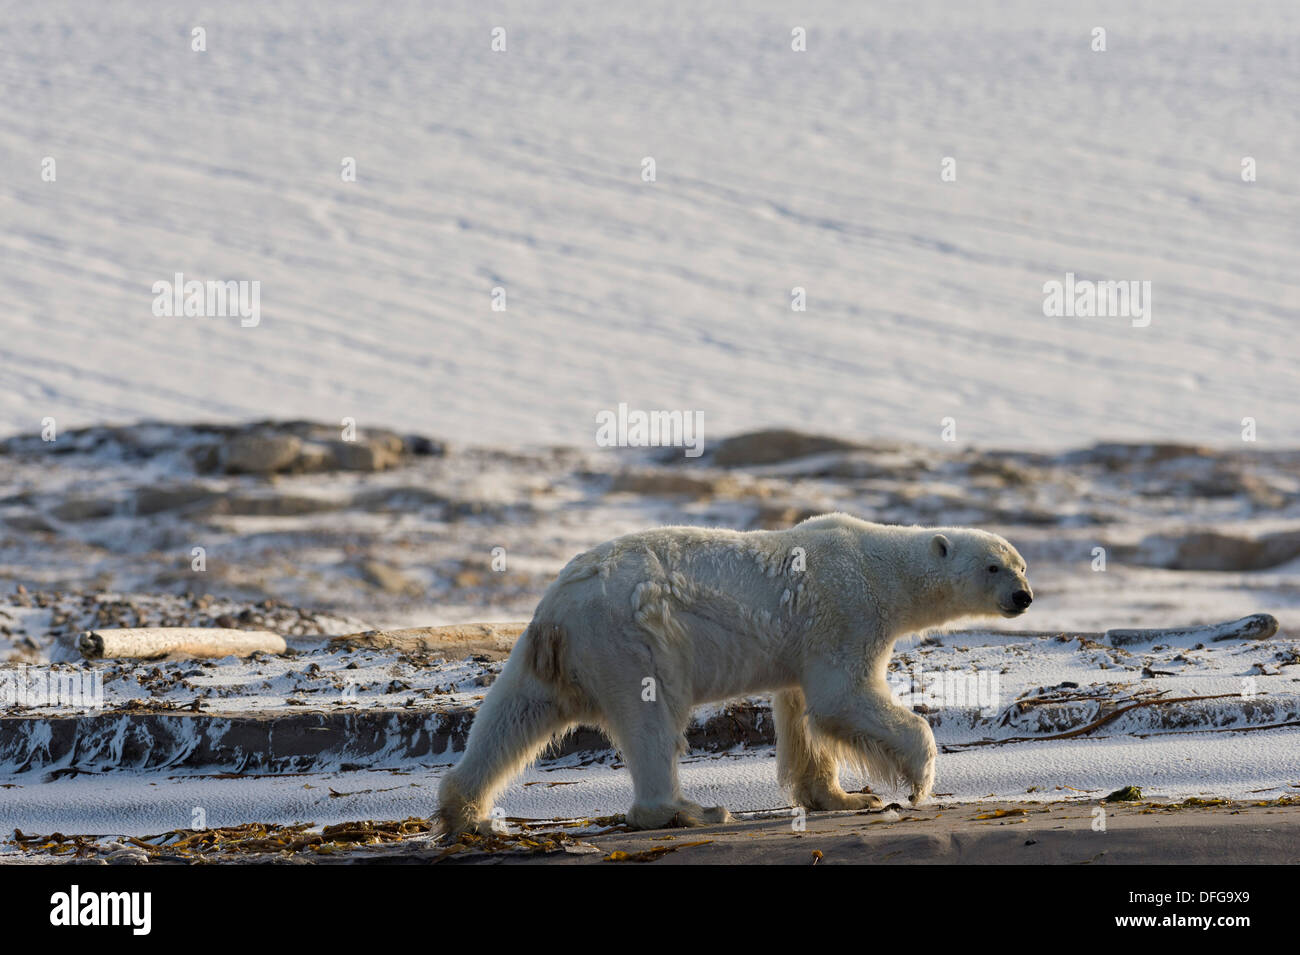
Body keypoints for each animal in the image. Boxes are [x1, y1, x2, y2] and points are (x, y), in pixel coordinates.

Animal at [441, 511, 1029, 831]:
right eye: (992, 567)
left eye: (1020, 565)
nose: (1023, 596)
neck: (879, 564)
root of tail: (558, 607)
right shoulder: (846, 609)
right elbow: (843, 697)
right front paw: (917, 781)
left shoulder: (804, 642)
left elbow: (802, 714)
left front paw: (842, 797)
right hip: (634, 639)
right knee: (651, 719)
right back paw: (691, 811)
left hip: (554, 652)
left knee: (512, 715)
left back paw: (464, 809)